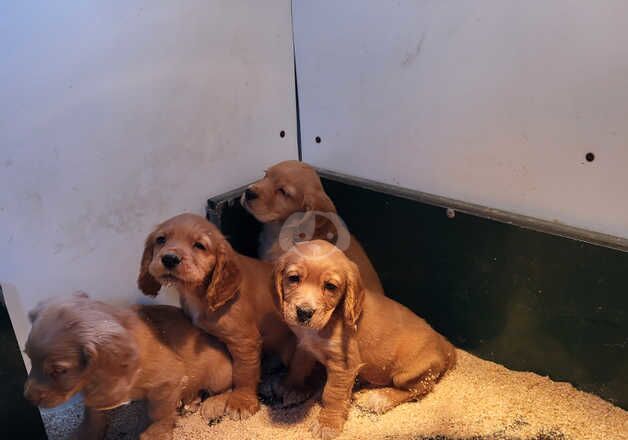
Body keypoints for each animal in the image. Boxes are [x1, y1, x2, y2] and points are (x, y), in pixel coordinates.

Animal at [23, 292, 233, 440]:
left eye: (59, 371)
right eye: (28, 356)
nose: (28, 399)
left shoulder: (169, 380)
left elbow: (159, 412)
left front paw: (155, 433)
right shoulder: (95, 389)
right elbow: (92, 412)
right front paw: (86, 432)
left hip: (219, 374)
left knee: (226, 389)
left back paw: (212, 404)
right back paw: (192, 400)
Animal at [139, 215, 312, 422]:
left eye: (199, 245)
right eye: (161, 240)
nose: (169, 258)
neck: (200, 295)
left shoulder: (244, 340)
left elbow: (243, 373)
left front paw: (241, 402)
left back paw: (292, 390)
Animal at [274, 241, 456, 440]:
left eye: (330, 286)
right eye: (293, 278)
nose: (304, 312)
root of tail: (445, 345)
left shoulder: (344, 365)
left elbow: (332, 394)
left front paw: (327, 424)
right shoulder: (305, 346)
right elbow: (298, 365)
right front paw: (292, 387)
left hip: (409, 373)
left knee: (418, 389)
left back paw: (379, 398)